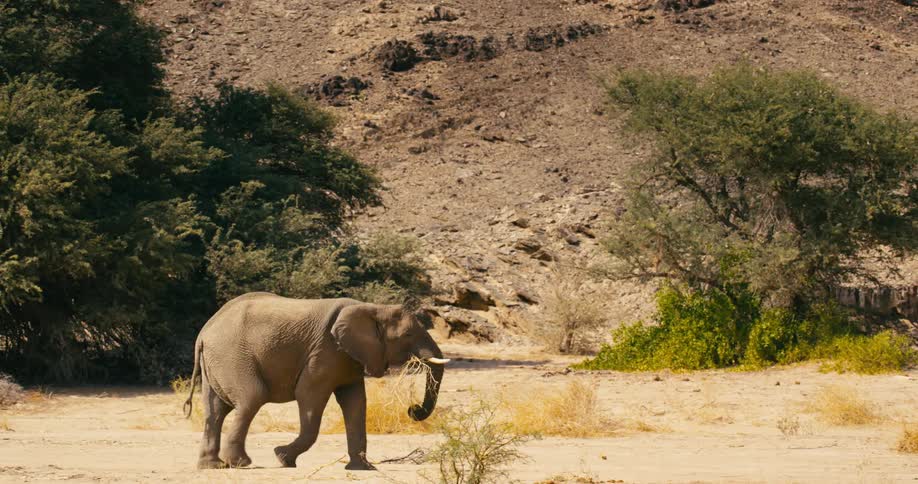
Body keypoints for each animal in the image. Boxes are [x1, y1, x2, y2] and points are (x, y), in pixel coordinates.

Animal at [182, 292, 449, 471]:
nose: (412, 409)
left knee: (215, 410)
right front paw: (282, 457)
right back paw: (240, 463)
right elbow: (309, 395)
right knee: (251, 399)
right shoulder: (325, 352)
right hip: (233, 357)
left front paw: (363, 469)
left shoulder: (348, 356)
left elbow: (355, 403)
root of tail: (204, 333)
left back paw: (212, 466)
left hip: (217, 363)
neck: (372, 308)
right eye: (407, 335)